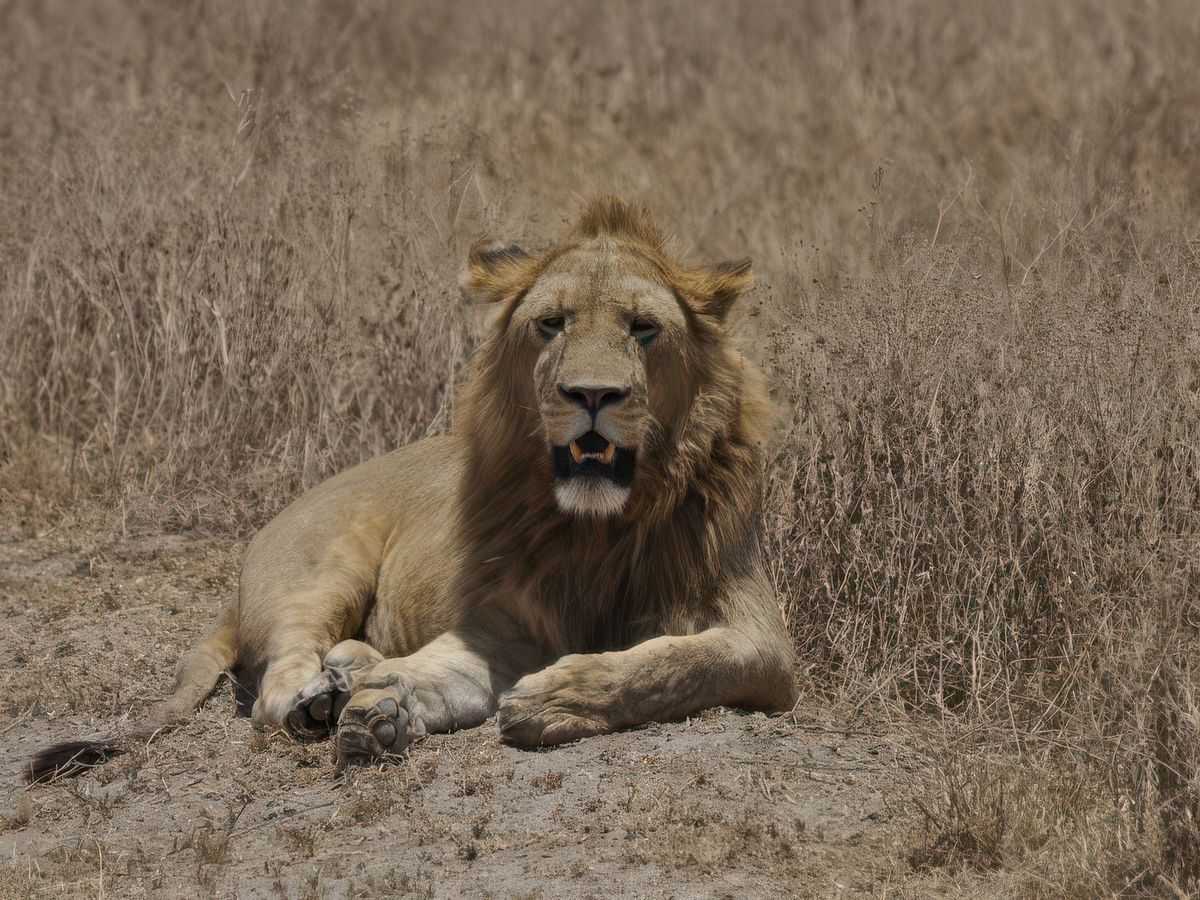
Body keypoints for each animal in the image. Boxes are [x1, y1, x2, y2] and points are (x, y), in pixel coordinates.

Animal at [28, 195, 797, 782]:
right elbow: (448, 666)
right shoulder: (501, 628)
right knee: (276, 683)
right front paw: (379, 710)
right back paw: (318, 699)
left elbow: (685, 662)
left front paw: (554, 696)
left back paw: (350, 680)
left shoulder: (762, 638)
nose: (591, 394)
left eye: (644, 328)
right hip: (324, 565)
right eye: (552, 323)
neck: (596, 529)